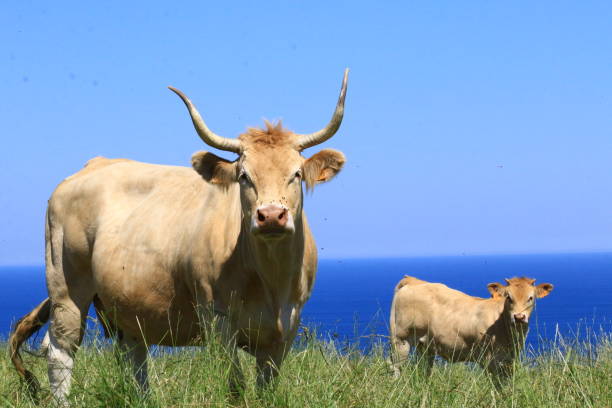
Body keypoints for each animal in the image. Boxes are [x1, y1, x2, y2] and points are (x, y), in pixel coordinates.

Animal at [10, 68, 350, 404]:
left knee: (134, 358)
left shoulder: (286, 328)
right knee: (61, 352)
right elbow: (235, 386)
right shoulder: (217, 319)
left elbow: (266, 389)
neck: (271, 281)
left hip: (128, 306)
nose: (270, 216)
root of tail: (92, 165)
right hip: (66, 286)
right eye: (244, 176)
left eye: (296, 174)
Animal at [392, 274, 556, 386]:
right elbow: (496, 386)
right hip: (401, 339)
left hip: (425, 345)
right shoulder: (489, 360)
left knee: (424, 368)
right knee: (395, 367)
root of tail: (412, 280)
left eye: (531, 298)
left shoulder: (509, 360)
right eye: (509, 297)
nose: (519, 317)